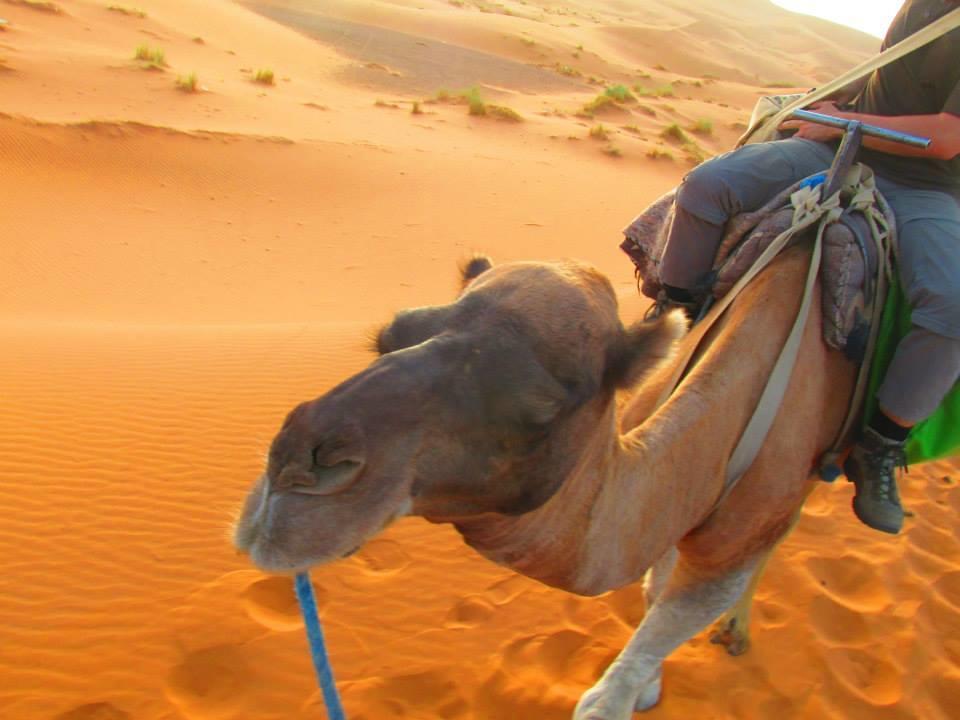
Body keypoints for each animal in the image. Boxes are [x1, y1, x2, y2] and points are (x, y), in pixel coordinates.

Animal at [232, 246, 856, 716]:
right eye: (387, 337)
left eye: (540, 410)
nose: (292, 469)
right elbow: (657, 589)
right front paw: (652, 682)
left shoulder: (745, 520)